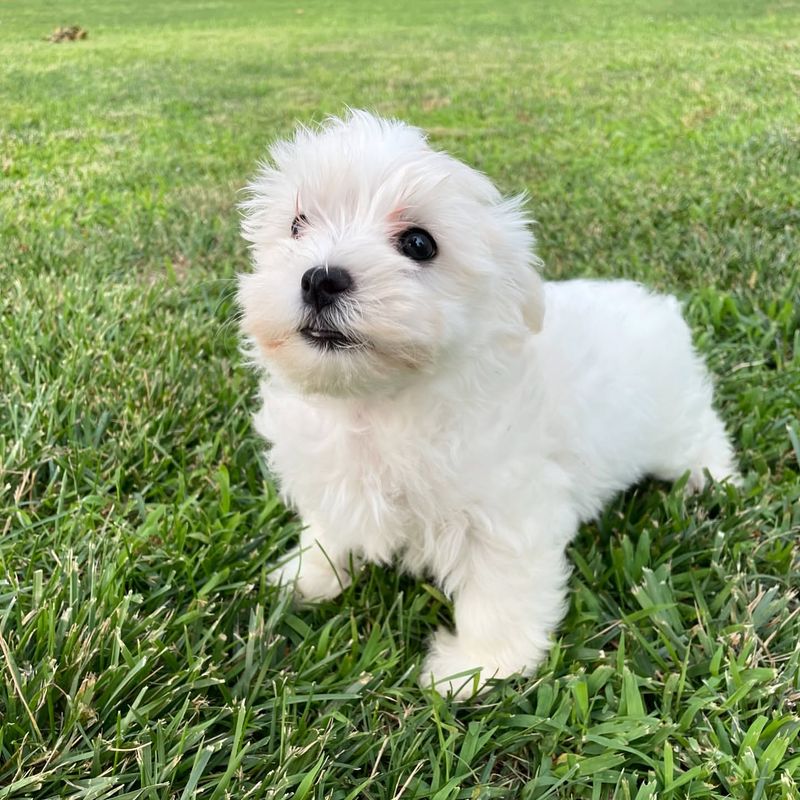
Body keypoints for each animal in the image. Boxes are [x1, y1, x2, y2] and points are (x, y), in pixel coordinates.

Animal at [236, 109, 736, 696]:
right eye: (297, 224)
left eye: (419, 244)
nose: (319, 278)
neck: (379, 403)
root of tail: (657, 305)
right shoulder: (333, 477)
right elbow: (329, 531)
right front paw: (306, 576)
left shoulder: (507, 513)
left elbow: (500, 593)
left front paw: (476, 668)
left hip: (674, 420)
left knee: (702, 437)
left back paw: (712, 478)